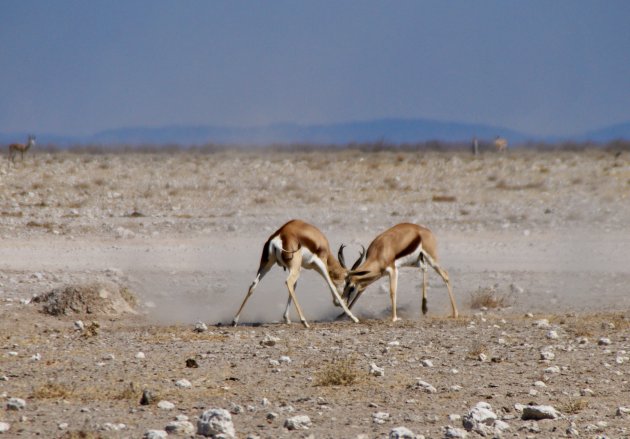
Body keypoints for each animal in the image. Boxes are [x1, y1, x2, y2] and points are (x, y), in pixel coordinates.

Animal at [232, 218, 362, 328]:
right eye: (349, 285)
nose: (344, 301)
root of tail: (278, 237)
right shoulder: (320, 263)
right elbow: (331, 285)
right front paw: (353, 317)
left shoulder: (301, 266)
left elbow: (295, 287)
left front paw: (286, 318)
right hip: (294, 268)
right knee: (288, 282)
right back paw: (304, 322)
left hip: (268, 265)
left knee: (254, 284)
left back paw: (234, 321)